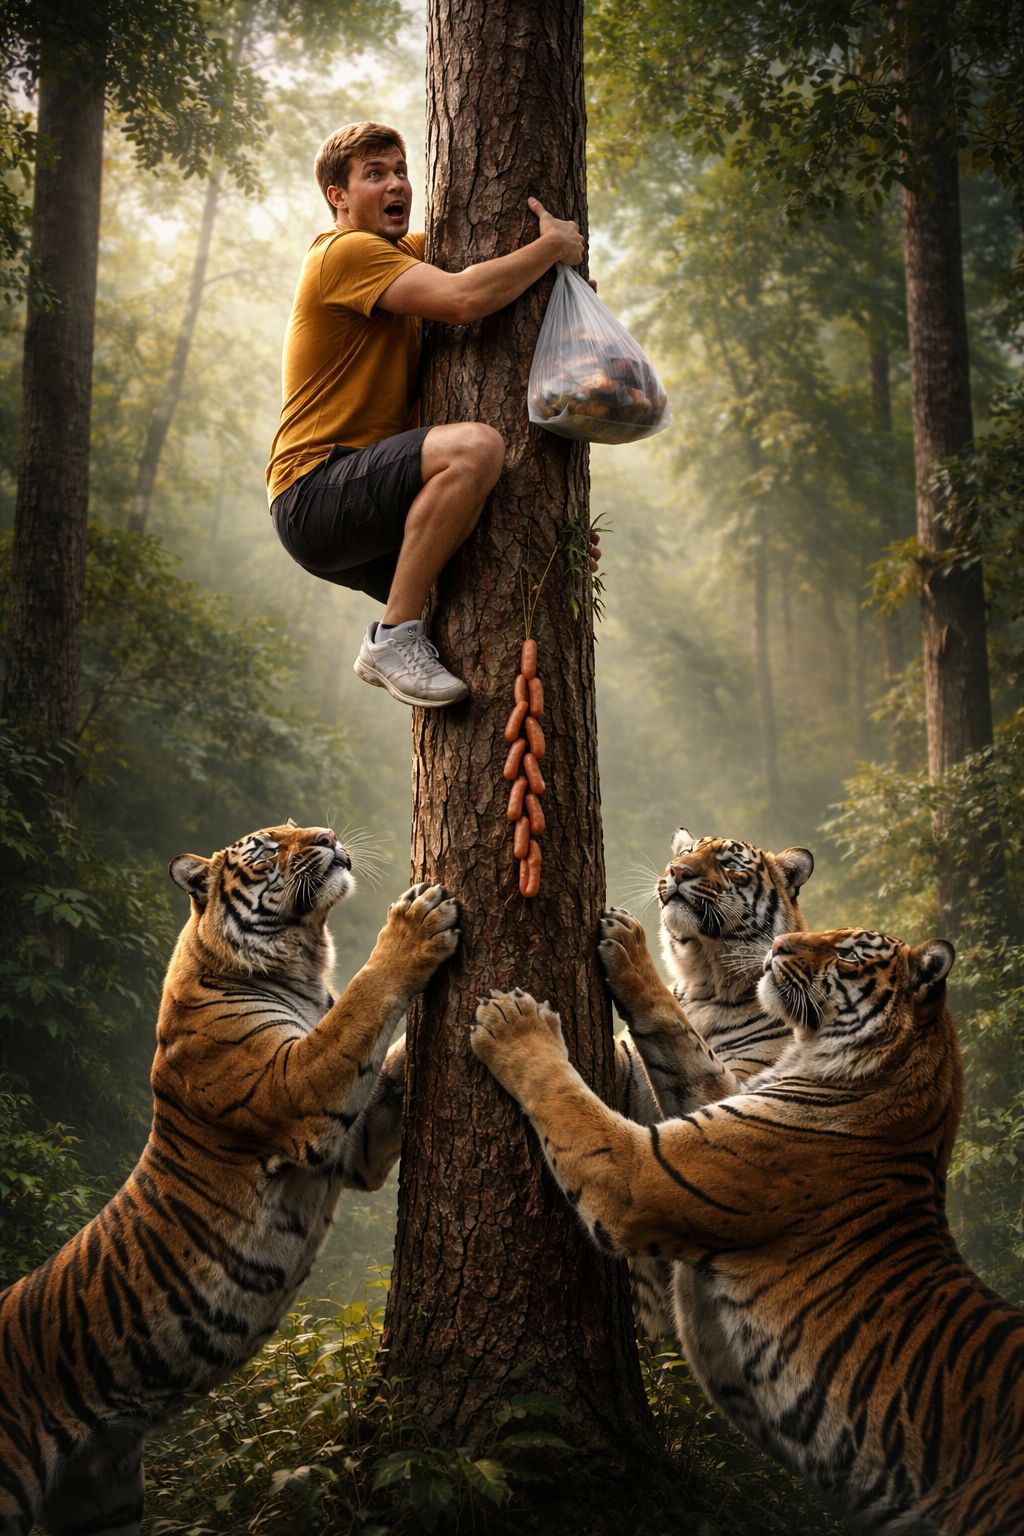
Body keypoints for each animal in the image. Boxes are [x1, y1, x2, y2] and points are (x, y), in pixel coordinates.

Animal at [0, 822, 460, 1536]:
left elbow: (388, 1058)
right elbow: (363, 1005)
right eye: (267, 847)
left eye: (299, 827)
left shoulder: (354, 1148)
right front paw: (413, 925)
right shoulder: (296, 1091)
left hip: (103, 1500)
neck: (302, 963)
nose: (328, 833)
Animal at [471, 929, 1024, 1535]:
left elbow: (568, 1099)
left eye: (849, 953)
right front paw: (627, 950)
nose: (779, 944)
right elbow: (686, 1049)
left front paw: (514, 1023)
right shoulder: (716, 1099)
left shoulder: (643, 1174)